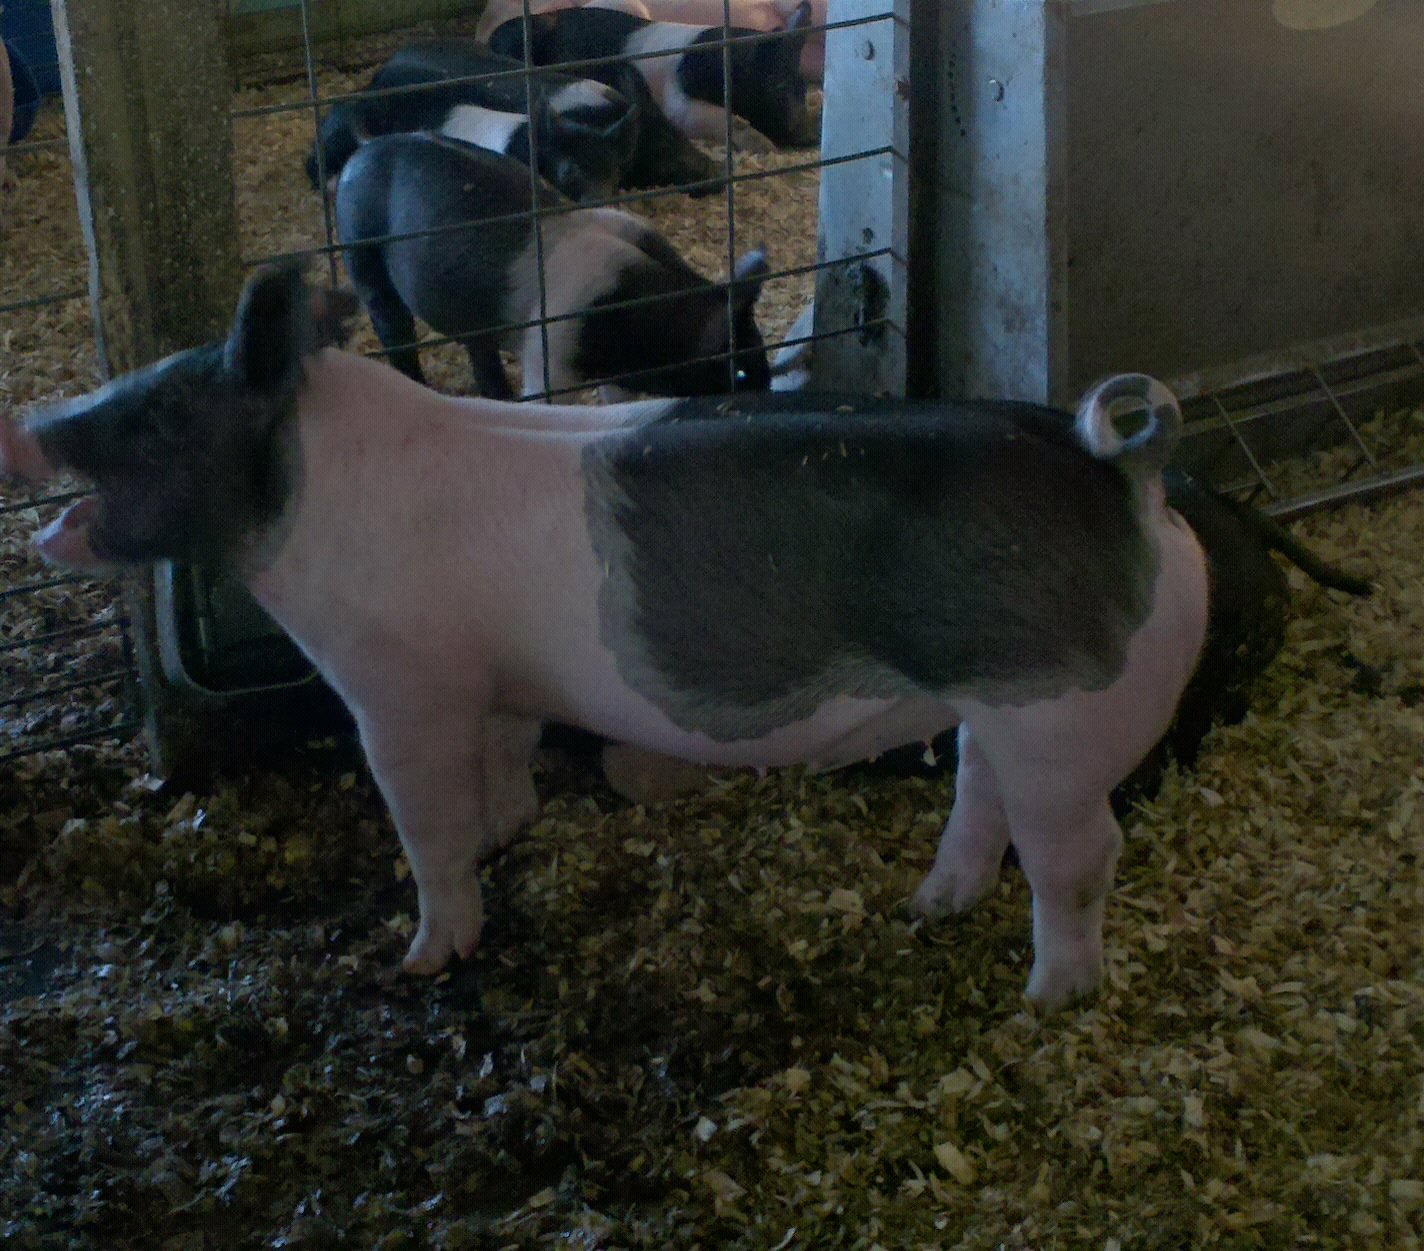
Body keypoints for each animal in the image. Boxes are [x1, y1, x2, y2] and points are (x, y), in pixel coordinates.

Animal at [0, 264, 1209, 1010]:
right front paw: (507, 833)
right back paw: (927, 908)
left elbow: (425, 826)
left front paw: (425, 957)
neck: (311, 504)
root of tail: (1128, 473)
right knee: (979, 797)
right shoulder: (493, 687)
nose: (24, 424)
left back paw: (1048, 998)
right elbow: (505, 767)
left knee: (1080, 854)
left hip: (1054, 715)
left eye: (161, 409)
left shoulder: (402, 690)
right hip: (993, 705)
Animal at [335, 132, 770, 397]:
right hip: (362, 253)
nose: (767, 390)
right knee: (394, 329)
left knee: (480, 352)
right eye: (738, 372)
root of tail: (361, 152)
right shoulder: (548, 352)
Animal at [489, 2, 818, 148]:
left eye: (802, 88)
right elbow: (706, 116)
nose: (811, 135)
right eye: (777, 87)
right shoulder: (678, 98)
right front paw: (761, 145)